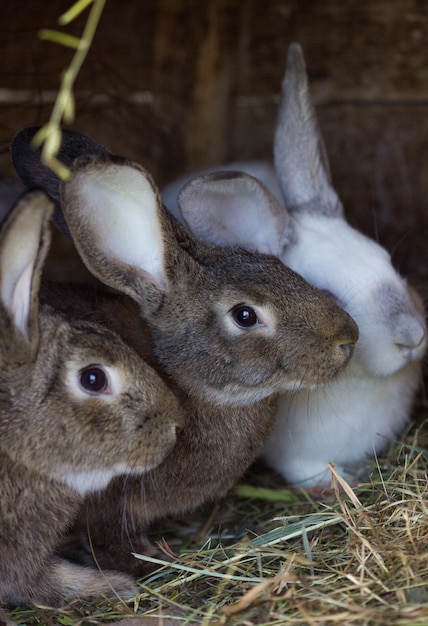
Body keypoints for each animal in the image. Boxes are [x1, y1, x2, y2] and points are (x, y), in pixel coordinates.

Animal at [10, 127, 358, 572]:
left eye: (284, 268)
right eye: (245, 315)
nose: (348, 337)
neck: (178, 378)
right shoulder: (106, 496)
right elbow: (109, 539)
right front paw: (147, 559)